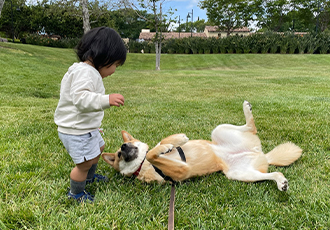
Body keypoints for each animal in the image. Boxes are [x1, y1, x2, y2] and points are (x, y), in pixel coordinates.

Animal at [102, 100, 302, 190]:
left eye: (127, 143)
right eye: (118, 155)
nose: (124, 147)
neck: (142, 165)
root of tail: (259, 153)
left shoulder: (159, 148)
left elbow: (159, 145)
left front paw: (177, 140)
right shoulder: (181, 170)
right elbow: (153, 154)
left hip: (219, 130)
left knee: (251, 127)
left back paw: (247, 109)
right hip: (239, 174)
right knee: (273, 172)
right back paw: (281, 182)